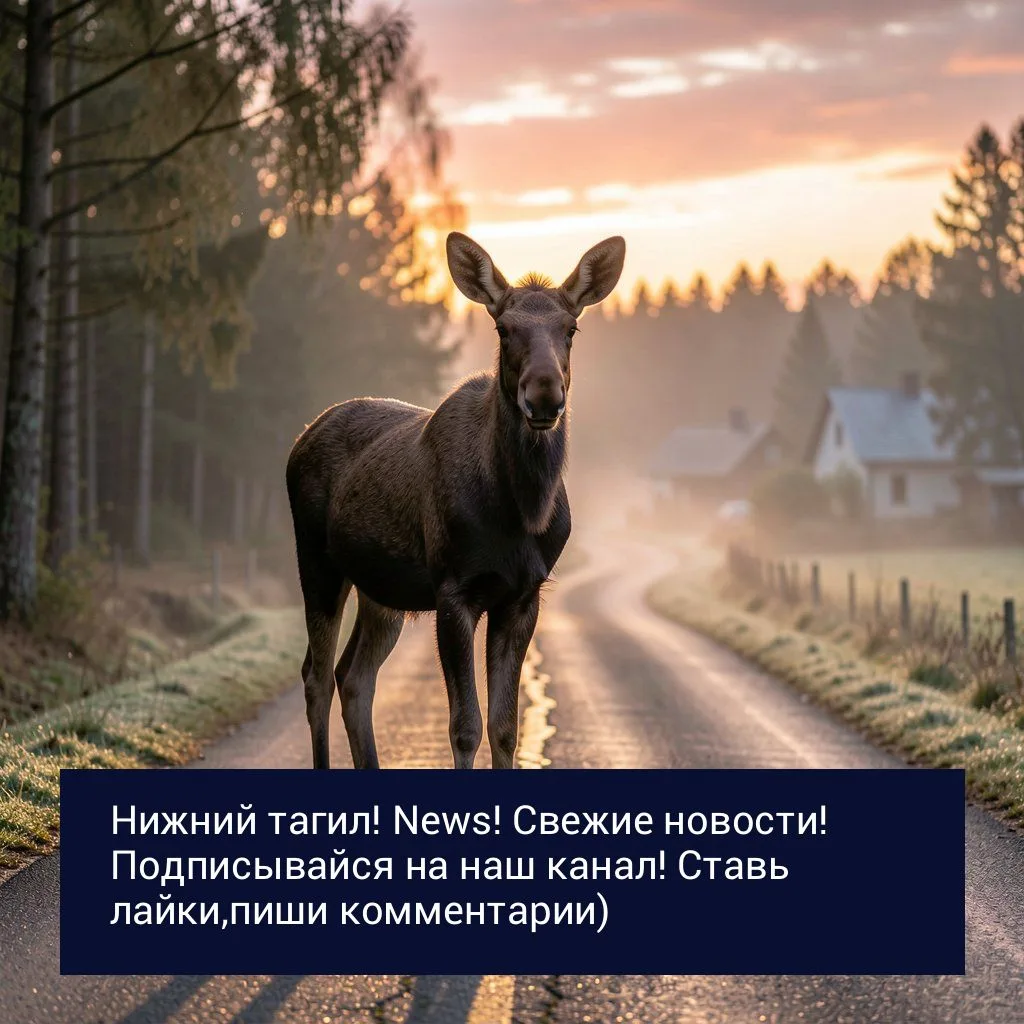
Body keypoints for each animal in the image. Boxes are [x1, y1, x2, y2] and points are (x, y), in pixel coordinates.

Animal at [285, 231, 626, 769]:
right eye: (504, 328)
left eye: (571, 328)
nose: (544, 396)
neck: (520, 513)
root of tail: (302, 438)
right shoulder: (453, 589)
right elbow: (465, 727)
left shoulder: (523, 596)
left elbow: (505, 728)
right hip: (317, 561)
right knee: (316, 677)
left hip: (381, 591)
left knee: (353, 676)